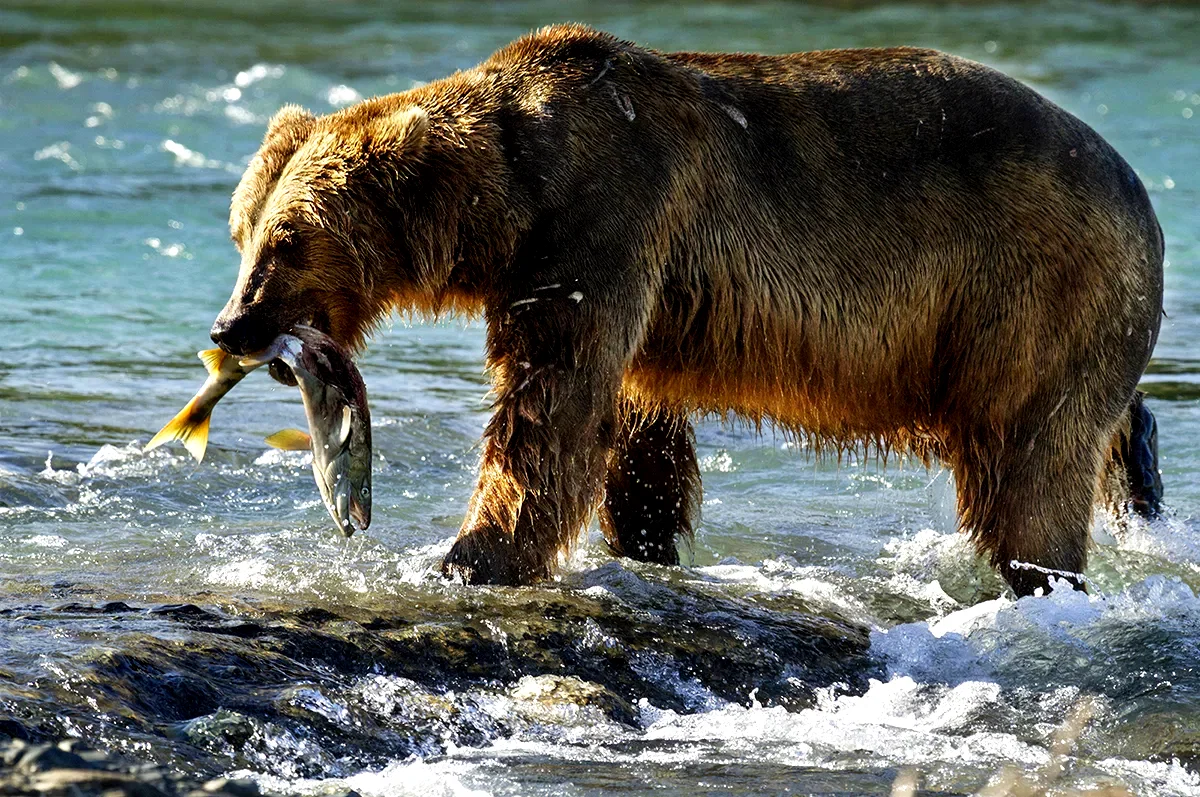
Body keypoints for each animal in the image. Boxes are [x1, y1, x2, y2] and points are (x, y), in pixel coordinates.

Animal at [210, 24, 1164, 597]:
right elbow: (637, 430)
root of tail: (1137, 188)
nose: (230, 326)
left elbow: (549, 405)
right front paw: (644, 540)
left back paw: (1041, 574)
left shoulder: (604, 216)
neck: (509, 198)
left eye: (287, 239)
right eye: (242, 230)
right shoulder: (645, 292)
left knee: (1030, 457)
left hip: (1029, 284)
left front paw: (468, 555)